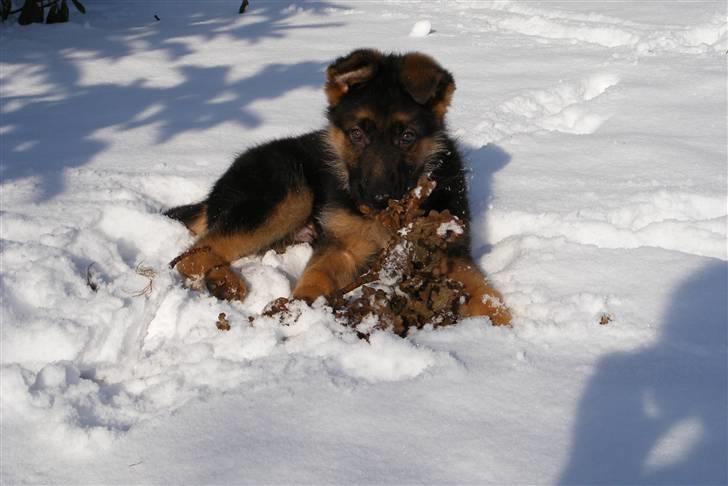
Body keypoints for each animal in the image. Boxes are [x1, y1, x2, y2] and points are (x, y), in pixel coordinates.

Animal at [168, 49, 512, 324]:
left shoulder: (449, 253)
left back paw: (221, 281)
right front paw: (301, 306)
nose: (378, 198)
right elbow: (316, 275)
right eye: (357, 134)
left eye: (407, 137)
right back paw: (225, 283)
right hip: (288, 192)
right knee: (192, 254)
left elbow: (487, 295)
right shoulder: (340, 246)